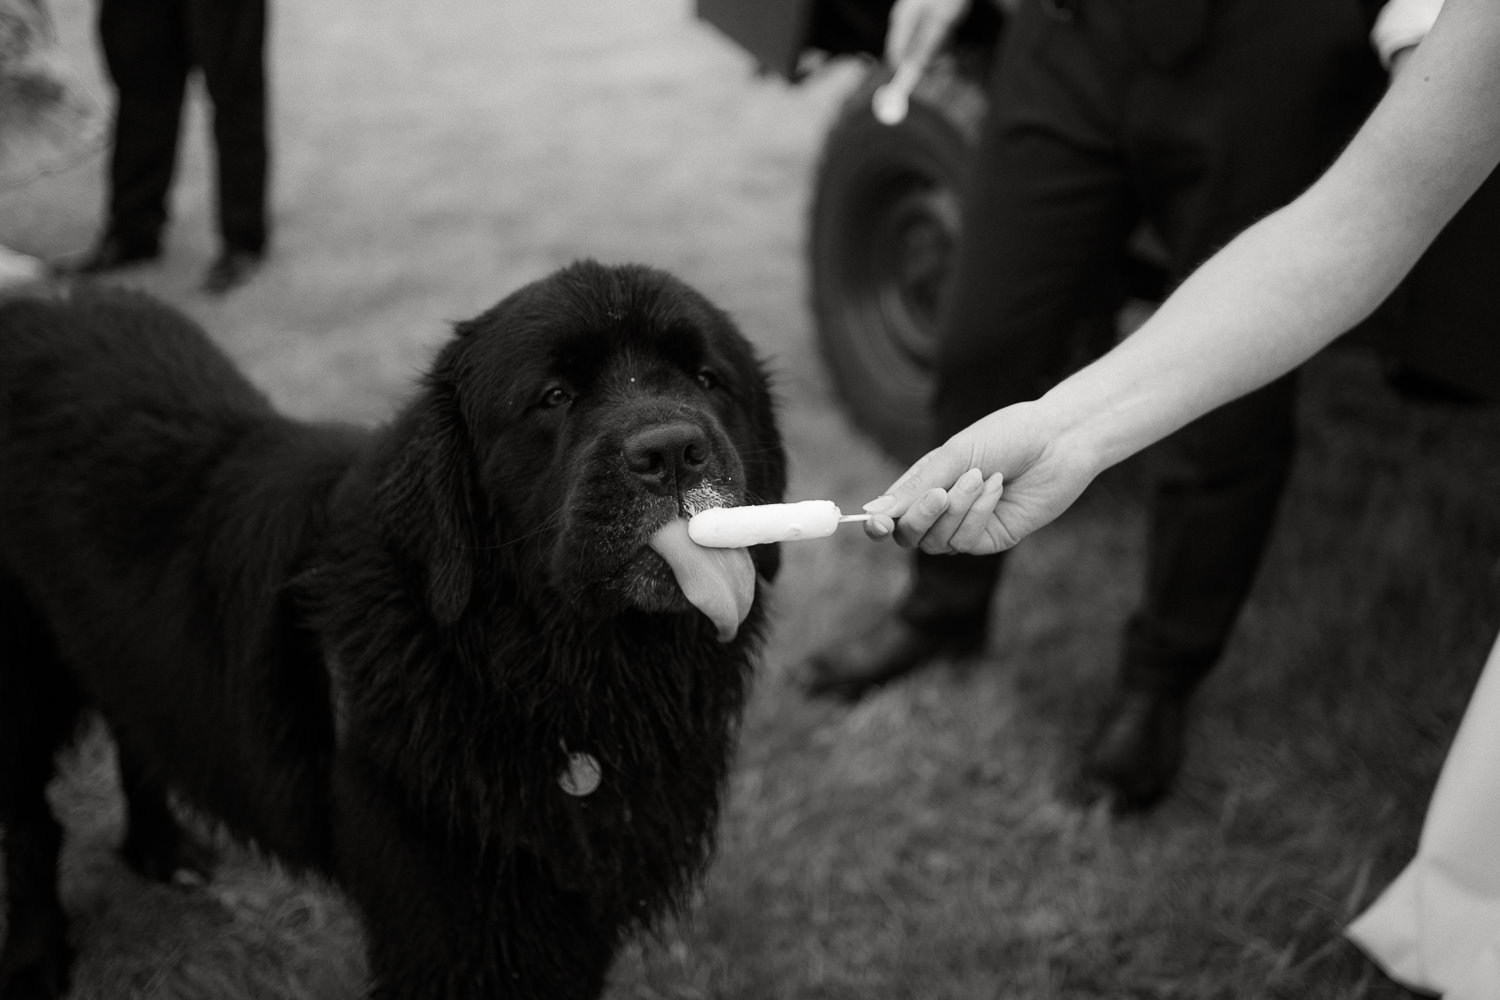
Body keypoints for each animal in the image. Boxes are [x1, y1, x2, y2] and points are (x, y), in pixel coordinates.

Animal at [0, 263, 792, 1000]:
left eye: (707, 379)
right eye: (554, 396)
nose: (671, 451)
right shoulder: (456, 926)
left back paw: (161, 850)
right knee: (30, 824)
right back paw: (38, 960)